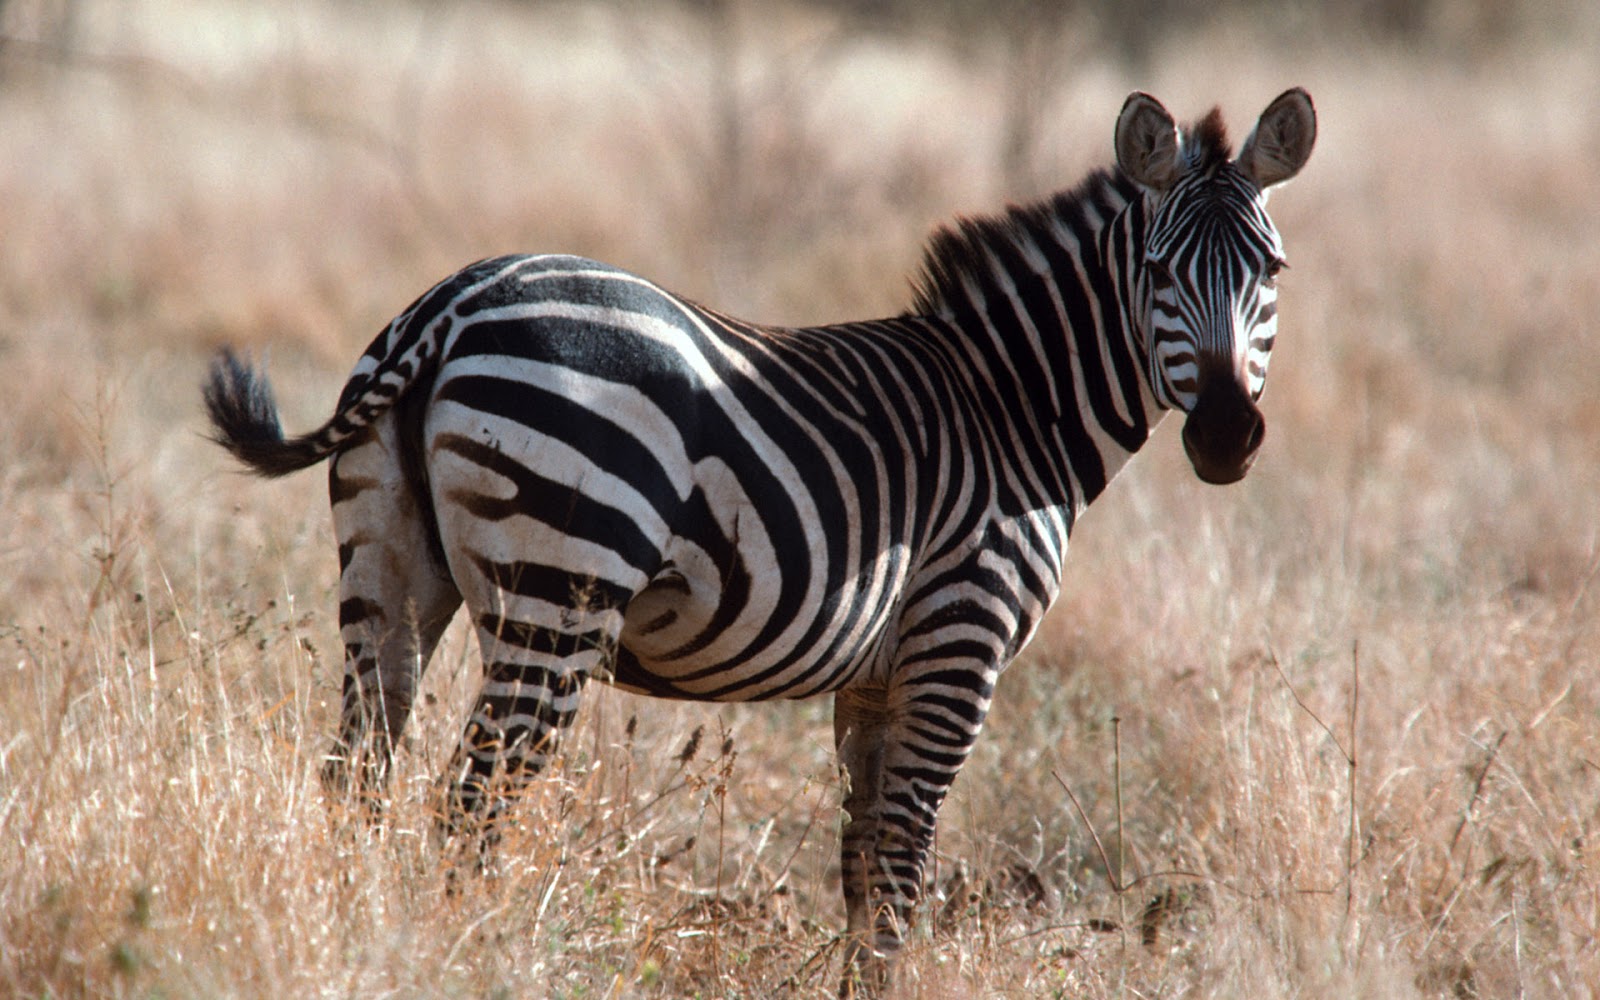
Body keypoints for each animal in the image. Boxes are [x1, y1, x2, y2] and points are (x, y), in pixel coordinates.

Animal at [206, 87, 1318, 992]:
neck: (1014, 408)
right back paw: (462, 957)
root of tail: (450, 305)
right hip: (559, 590)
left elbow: (864, 859)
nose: (1226, 438)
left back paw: (367, 940)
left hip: (388, 568)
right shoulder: (961, 641)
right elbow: (904, 856)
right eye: (1158, 270)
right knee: (470, 801)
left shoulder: (873, 675)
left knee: (358, 776)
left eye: (1271, 270)